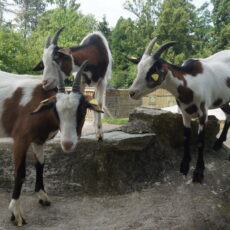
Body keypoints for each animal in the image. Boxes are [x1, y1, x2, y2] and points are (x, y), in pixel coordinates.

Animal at [128, 37, 230, 183]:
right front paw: (185, 165)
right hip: (223, 99)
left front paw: (198, 173)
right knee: (228, 113)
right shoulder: (184, 112)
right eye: (138, 69)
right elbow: (186, 136)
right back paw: (218, 144)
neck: (189, 83)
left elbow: (200, 141)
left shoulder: (203, 113)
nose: (132, 93)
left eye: (152, 72)